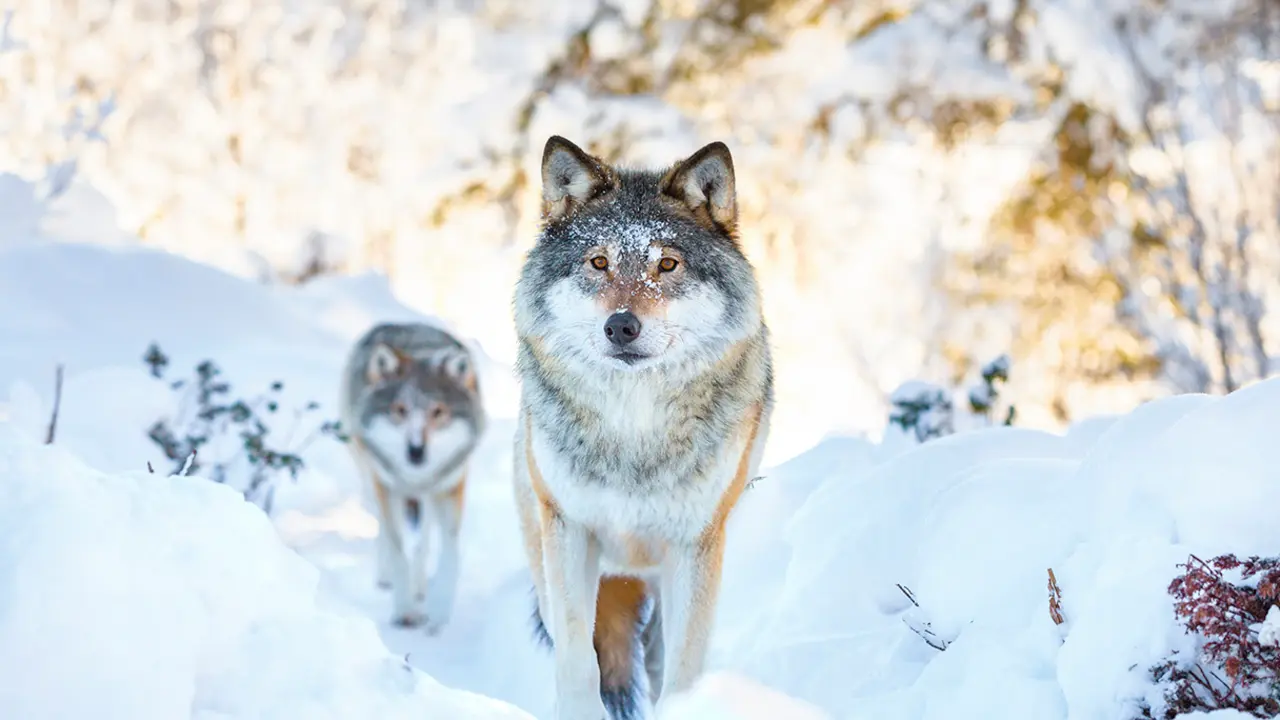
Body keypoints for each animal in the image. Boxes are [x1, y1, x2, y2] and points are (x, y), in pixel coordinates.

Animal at [339, 322, 486, 631]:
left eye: (438, 412)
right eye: (400, 410)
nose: (415, 451)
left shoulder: (450, 486)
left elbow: (450, 552)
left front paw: (439, 608)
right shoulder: (386, 486)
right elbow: (397, 550)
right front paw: (405, 609)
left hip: (428, 496)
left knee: (424, 539)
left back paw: (421, 587)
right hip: (370, 479)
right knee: (383, 530)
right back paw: (387, 577)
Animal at [512, 136, 774, 719]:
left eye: (668, 264)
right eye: (599, 262)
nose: (622, 326)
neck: (633, 431)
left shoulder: (695, 545)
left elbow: (682, 670)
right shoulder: (569, 530)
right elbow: (577, 663)